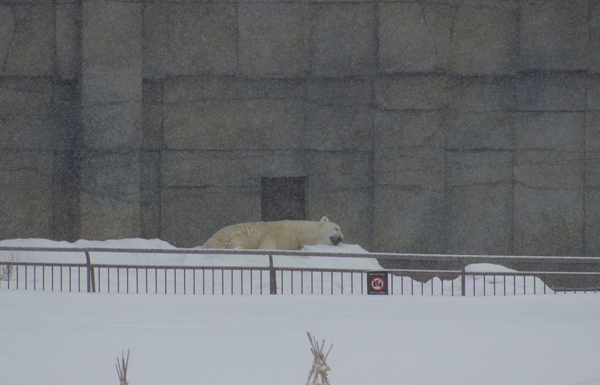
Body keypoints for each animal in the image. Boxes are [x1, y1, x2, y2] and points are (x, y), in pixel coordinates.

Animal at [202, 214, 342, 250]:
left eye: (342, 233)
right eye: (336, 228)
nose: (340, 238)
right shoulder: (281, 233)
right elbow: (267, 246)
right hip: (231, 237)